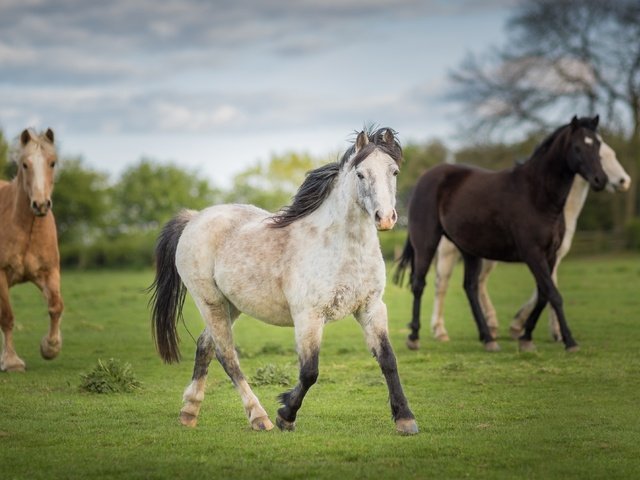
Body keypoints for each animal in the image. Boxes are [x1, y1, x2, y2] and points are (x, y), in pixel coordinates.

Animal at [0, 127, 63, 372]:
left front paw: (50, 347)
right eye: (25, 164)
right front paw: (11, 361)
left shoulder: (49, 272)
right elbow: (7, 317)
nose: (41, 204)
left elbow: (56, 306)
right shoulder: (1, 275)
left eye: (52, 162)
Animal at [151, 127, 420, 436]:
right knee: (227, 355)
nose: (385, 218)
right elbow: (310, 371)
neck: (344, 249)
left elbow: (388, 360)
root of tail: (194, 218)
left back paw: (189, 411)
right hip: (210, 302)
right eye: (361, 174)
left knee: (205, 346)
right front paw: (285, 415)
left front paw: (405, 419)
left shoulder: (371, 308)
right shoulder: (309, 316)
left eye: (394, 171)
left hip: (232, 305)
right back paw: (259, 417)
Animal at [392, 116, 608, 352]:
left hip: (468, 250)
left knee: (470, 288)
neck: (537, 196)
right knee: (419, 284)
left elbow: (543, 295)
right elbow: (553, 294)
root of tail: (424, 179)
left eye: (598, 144)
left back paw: (488, 338)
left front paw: (526, 337)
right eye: (577, 147)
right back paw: (414, 337)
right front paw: (569, 341)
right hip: (426, 244)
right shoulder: (533, 254)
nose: (601, 180)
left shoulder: (550, 255)